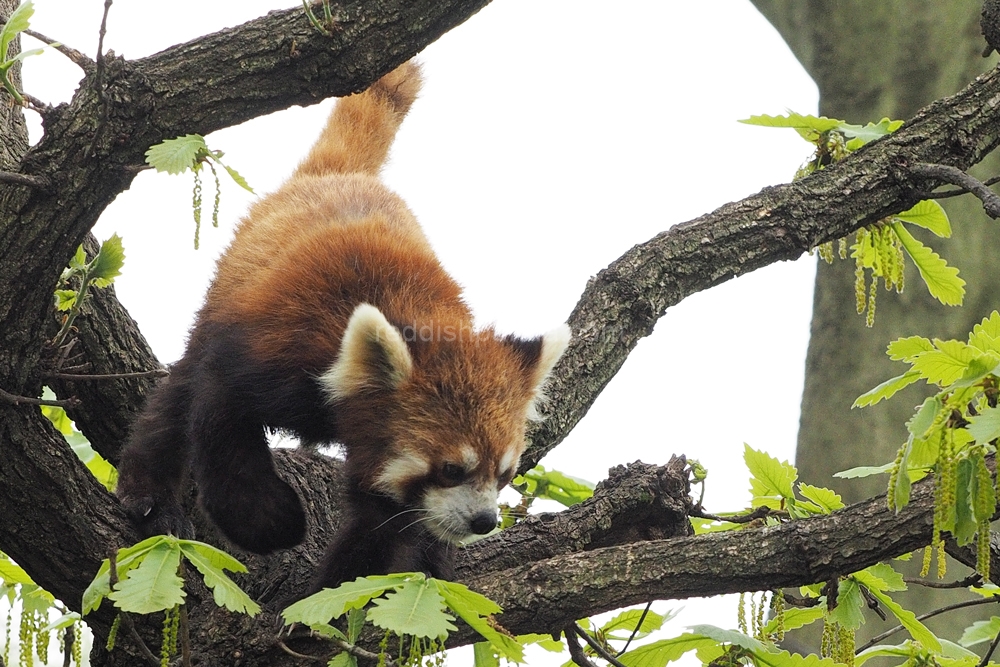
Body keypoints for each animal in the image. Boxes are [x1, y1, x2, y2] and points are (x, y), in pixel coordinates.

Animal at [115, 61, 572, 588]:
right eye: (451, 469)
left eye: (505, 474)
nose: (484, 521)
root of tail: (334, 174)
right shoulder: (271, 355)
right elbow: (219, 416)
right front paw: (272, 522)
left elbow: (381, 531)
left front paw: (329, 602)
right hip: (224, 296)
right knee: (178, 395)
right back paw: (150, 498)